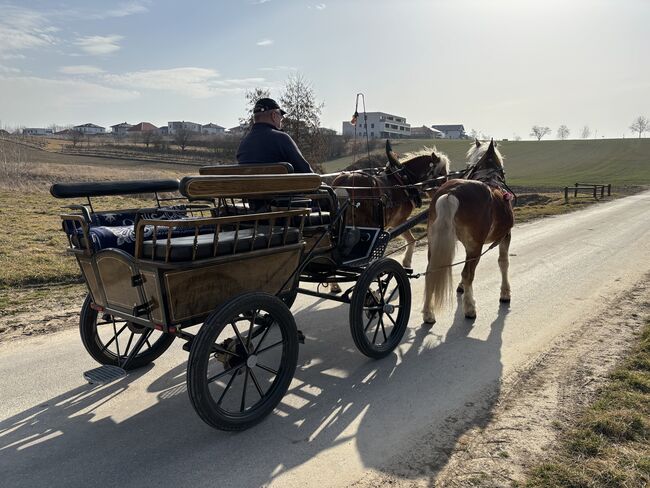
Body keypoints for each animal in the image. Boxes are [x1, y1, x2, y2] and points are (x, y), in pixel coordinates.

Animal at [332, 140, 448, 274]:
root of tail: (344, 185)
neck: (403, 180)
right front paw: (406, 263)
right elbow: (411, 240)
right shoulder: (398, 220)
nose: (444, 192)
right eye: (441, 174)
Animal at [420, 141, 516, 324]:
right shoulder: (505, 235)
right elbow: (503, 262)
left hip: (433, 243)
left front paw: (461, 288)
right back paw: (470, 308)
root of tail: (451, 193)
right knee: (468, 274)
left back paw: (428, 313)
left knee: (430, 272)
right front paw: (505, 293)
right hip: (476, 247)